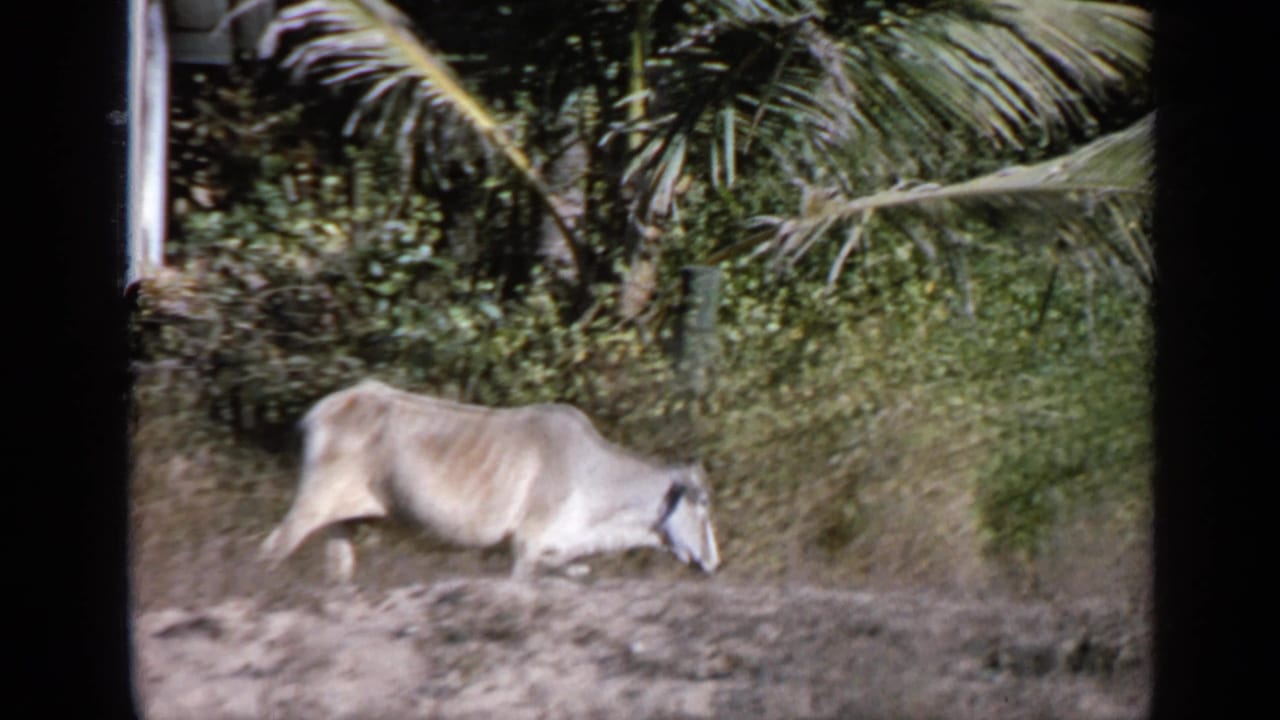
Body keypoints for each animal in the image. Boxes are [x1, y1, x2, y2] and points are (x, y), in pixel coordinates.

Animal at [260, 379, 720, 582]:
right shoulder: (526, 544)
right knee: (272, 548)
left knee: (338, 567)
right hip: (312, 504)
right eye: (703, 505)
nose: (713, 561)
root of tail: (318, 409)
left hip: (346, 521)